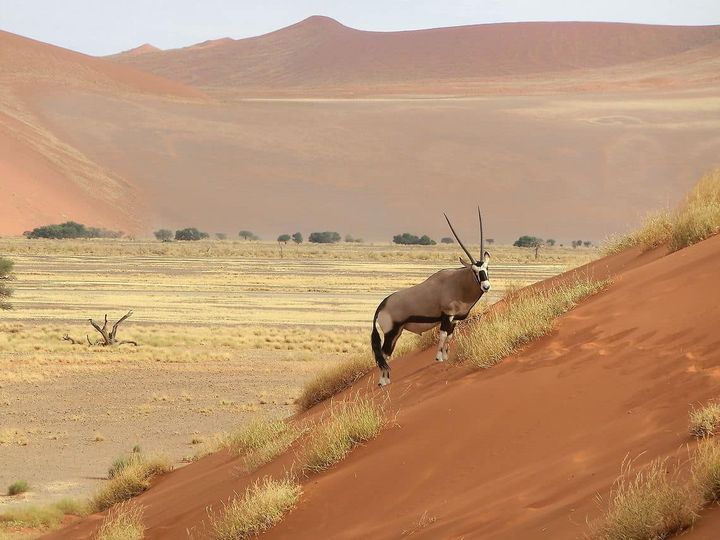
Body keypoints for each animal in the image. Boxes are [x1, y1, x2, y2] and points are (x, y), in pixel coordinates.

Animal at [372, 209, 490, 386]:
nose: (486, 286)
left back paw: (386, 380)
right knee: (384, 354)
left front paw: (446, 356)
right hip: (391, 332)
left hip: (397, 333)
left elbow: (450, 336)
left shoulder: (454, 319)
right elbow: (443, 335)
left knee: (386, 355)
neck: (459, 282)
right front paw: (439, 358)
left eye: (487, 268)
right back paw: (383, 383)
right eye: (474, 271)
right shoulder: (447, 315)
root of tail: (381, 306)